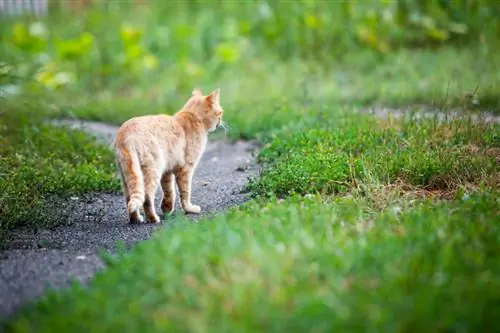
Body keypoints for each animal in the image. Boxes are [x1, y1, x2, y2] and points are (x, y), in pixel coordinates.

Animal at [114, 88, 224, 223]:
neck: (192, 116)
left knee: (130, 198)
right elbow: (185, 192)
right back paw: (153, 218)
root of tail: (127, 135)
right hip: (153, 169)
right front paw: (189, 209)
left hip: (128, 175)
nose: (220, 121)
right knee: (147, 196)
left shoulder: (168, 170)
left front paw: (167, 208)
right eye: (220, 113)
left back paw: (136, 219)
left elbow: (169, 191)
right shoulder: (186, 169)